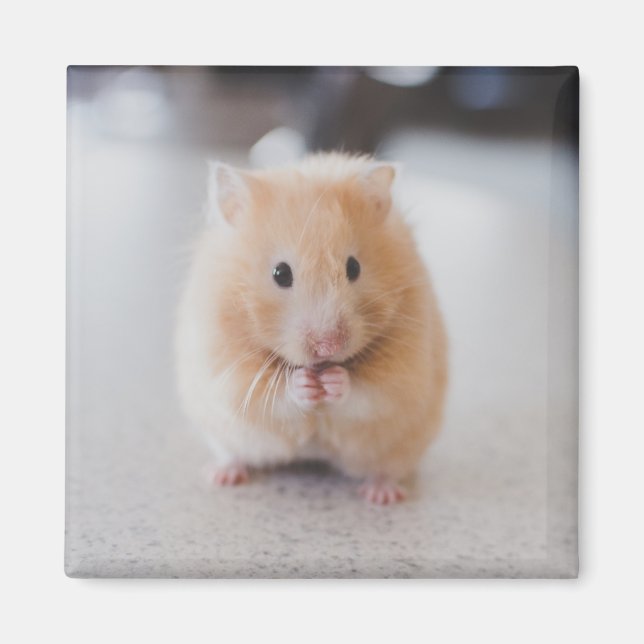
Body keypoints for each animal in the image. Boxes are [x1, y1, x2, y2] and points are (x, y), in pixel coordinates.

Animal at [175, 152, 447, 504]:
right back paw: (222, 475)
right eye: (280, 273)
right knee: (233, 454)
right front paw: (305, 383)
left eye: (354, 267)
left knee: (386, 469)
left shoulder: (404, 373)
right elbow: (272, 394)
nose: (327, 347)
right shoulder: (227, 370)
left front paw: (333, 381)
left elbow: (369, 393)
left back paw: (382, 495)